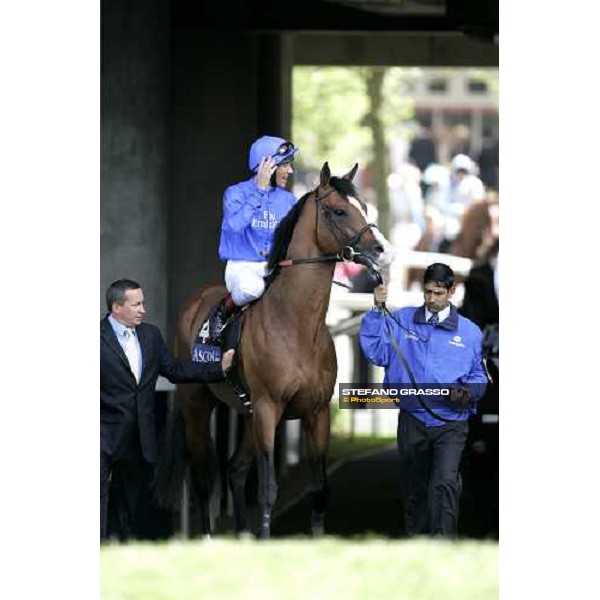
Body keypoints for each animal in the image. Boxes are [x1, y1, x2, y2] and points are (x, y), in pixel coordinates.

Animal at [155, 162, 394, 536]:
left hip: (249, 413)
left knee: (236, 469)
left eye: (365, 208)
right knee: (203, 478)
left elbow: (320, 488)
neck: (297, 326)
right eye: (339, 211)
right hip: (198, 405)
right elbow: (268, 488)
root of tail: (194, 303)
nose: (382, 250)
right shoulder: (269, 408)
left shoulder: (316, 412)